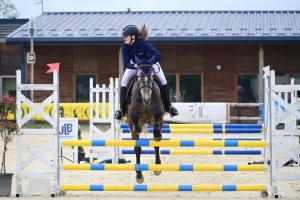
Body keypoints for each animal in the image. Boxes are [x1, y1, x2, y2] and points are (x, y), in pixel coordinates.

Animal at [125, 54, 165, 183]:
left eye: (152, 75)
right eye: (138, 76)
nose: (147, 99)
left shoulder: (159, 111)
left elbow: (157, 112)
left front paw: (157, 134)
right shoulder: (131, 112)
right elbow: (134, 115)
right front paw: (137, 127)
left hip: (156, 122)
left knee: (157, 141)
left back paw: (157, 167)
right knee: (137, 149)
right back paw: (139, 175)